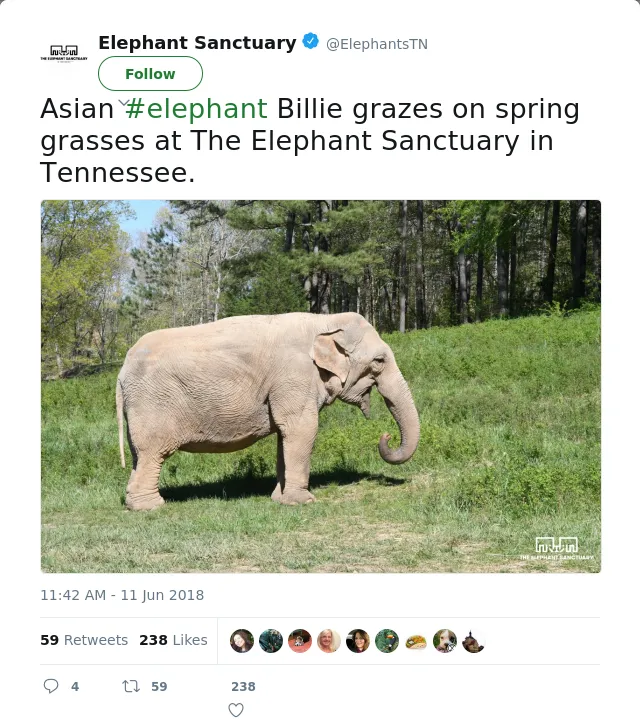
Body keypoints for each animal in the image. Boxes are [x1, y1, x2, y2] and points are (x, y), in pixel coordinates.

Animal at [116, 312, 420, 510]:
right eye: (379, 361)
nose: (385, 436)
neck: (323, 320)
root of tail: (120, 373)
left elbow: (285, 437)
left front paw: (279, 499)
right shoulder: (294, 376)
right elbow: (303, 429)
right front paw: (303, 502)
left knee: (140, 456)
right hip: (152, 404)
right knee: (153, 453)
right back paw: (152, 507)